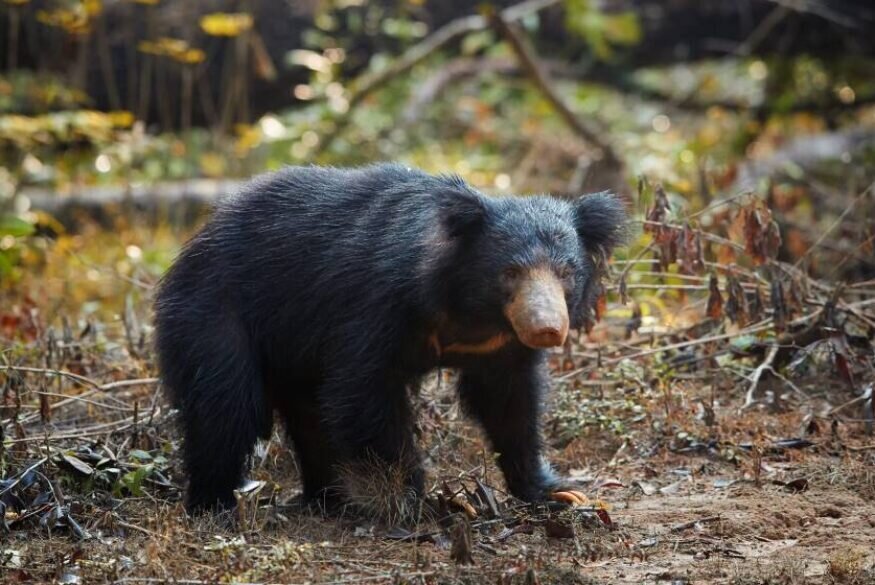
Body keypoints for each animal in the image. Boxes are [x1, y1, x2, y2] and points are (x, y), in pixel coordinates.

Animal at [154, 162, 628, 512]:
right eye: (510, 272)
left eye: (566, 273)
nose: (547, 329)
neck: (472, 314)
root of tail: (192, 246)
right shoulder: (376, 306)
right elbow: (364, 393)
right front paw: (420, 498)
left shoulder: (499, 346)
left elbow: (509, 404)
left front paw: (558, 491)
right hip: (214, 316)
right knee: (226, 405)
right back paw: (214, 504)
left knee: (308, 415)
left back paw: (330, 499)